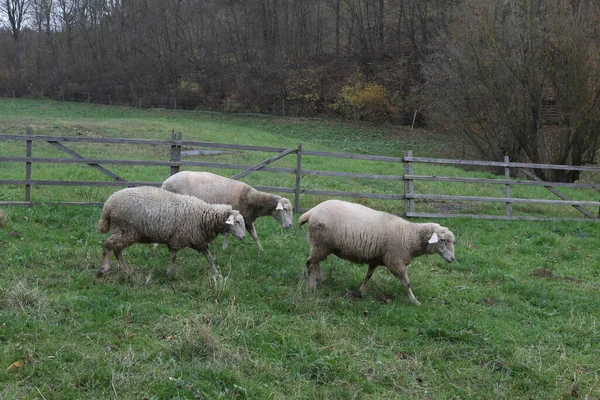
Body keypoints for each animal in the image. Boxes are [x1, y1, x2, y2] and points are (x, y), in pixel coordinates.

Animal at [95, 185, 245, 276]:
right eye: (237, 222)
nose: (243, 237)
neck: (203, 216)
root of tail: (108, 204)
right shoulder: (177, 238)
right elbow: (173, 256)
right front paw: (169, 273)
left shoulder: (199, 241)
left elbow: (209, 257)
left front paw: (216, 274)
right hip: (125, 229)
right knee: (108, 245)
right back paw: (104, 269)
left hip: (124, 232)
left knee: (117, 249)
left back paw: (126, 271)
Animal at [163, 171, 294, 252]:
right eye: (285, 209)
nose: (290, 225)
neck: (250, 198)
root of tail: (165, 182)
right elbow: (227, 234)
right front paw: (224, 248)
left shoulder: (247, 219)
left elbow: (255, 236)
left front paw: (261, 250)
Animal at [298, 200, 458, 306]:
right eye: (442, 240)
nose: (452, 259)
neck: (410, 235)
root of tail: (312, 211)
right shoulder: (395, 262)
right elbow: (407, 283)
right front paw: (414, 301)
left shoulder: (375, 259)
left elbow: (368, 276)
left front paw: (361, 292)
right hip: (320, 243)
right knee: (310, 263)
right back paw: (310, 288)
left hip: (320, 244)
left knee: (315, 262)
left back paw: (317, 281)